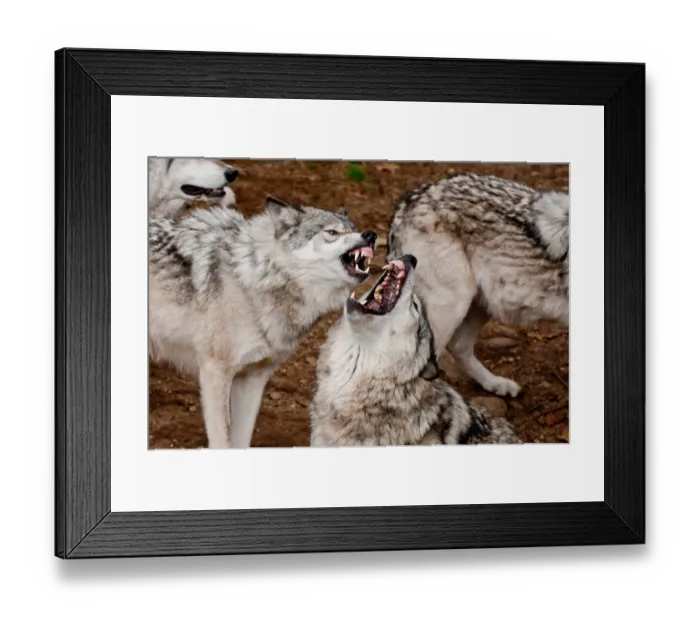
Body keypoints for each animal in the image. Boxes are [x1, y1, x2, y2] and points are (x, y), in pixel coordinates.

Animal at [149, 195, 377, 448]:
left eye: (353, 228)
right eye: (332, 232)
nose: (370, 235)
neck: (255, 277)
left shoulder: (253, 379)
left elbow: (241, 441)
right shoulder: (214, 372)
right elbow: (222, 441)